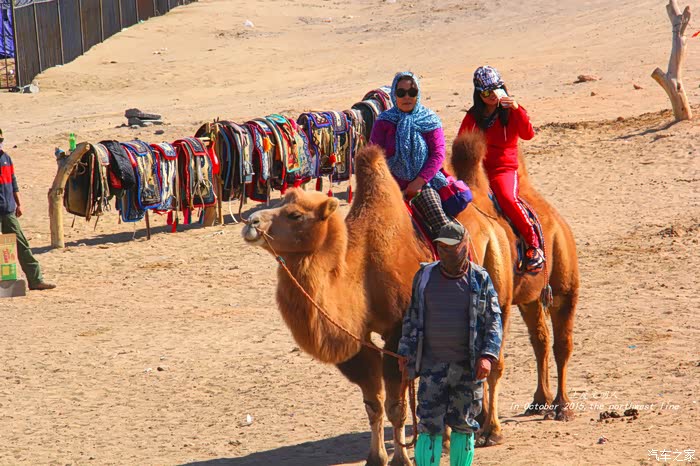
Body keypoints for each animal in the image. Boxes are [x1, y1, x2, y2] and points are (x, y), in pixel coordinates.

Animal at [241, 135, 578, 464]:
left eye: (295, 215)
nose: (250, 223)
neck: (360, 268)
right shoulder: (360, 339)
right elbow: (374, 402)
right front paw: (377, 457)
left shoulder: (397, 331)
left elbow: (396, 403)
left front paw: (401, 458)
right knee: (532, 340)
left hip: (516, 283)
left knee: (516, 353)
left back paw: (510, 424)